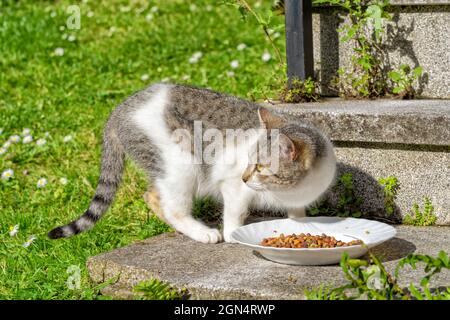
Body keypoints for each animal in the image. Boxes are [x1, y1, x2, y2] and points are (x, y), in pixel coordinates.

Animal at [49, 82, 338, 242]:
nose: (246, 176)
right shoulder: (232, 185)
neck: (292, 190)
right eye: (249, 162)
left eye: (259, 167)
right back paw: (203, 233)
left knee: (153, 195)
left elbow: (297, 215)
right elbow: (234, 212)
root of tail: (119, 110)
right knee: (165, 203)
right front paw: (233, 235)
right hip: (182, 166)